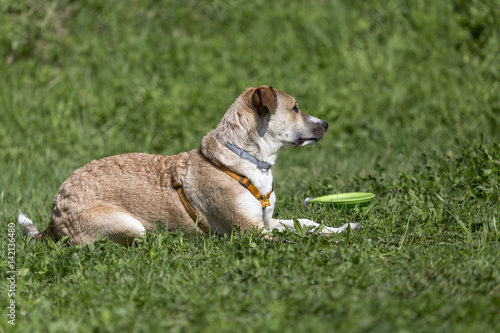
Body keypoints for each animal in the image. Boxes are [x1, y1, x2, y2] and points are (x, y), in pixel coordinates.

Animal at [18, 85, 356, 244]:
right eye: (296, 108)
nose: (326, 124)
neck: (242, 161)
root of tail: (53, 218)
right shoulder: (251, 231)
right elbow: (295, 239)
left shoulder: (265, 221)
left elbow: (307, 224)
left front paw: (345, 227)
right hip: (129, 224)